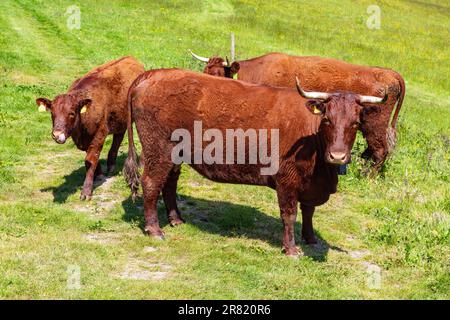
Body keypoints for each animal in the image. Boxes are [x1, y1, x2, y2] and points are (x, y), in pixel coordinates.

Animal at [35, 56, 144, 199]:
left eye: (72, 113)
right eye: (52, 113)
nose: (57, 134)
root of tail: (131, 58)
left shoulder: (100, 132)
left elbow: (90, 159)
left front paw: (86, 191)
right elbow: (91, 158)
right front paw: (99, 174)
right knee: (118, 137)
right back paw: (110, 165)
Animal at [124, 69, 386, 256]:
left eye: (355, 123)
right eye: (328, 120)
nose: (337, 156)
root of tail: (153, 74)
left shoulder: (309, 183)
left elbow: (309, 210)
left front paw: (310, 238)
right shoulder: (287, 180)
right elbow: (289, 214)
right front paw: (291, 249)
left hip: (175, 154)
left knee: (169, 183)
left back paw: (176, 220)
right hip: (158, 150)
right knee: (151, 183)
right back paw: (155, 230)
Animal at [190, 51, 404, 171]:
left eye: (219, 74)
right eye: (205, 70)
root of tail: (389, 74)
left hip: (374, 126)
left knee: (380, 151)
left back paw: (365, 176)